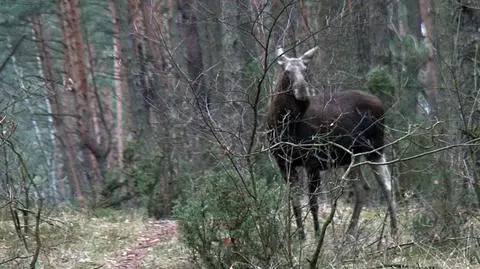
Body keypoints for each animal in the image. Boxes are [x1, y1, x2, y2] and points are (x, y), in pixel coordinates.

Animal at [266, 46, 398, 239]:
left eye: (306, 70)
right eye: (287, 71)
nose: (302, 91)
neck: (285, 126)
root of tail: (381, 103)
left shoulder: (313, 161)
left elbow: (313, 202)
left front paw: (316, 234)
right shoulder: (283, 163)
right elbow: (295, 202)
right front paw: (301, 236)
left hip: (375, 148)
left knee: (387, 185)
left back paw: (394, 231)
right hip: (351, 157)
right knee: (363, 188)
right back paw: (350, 232)